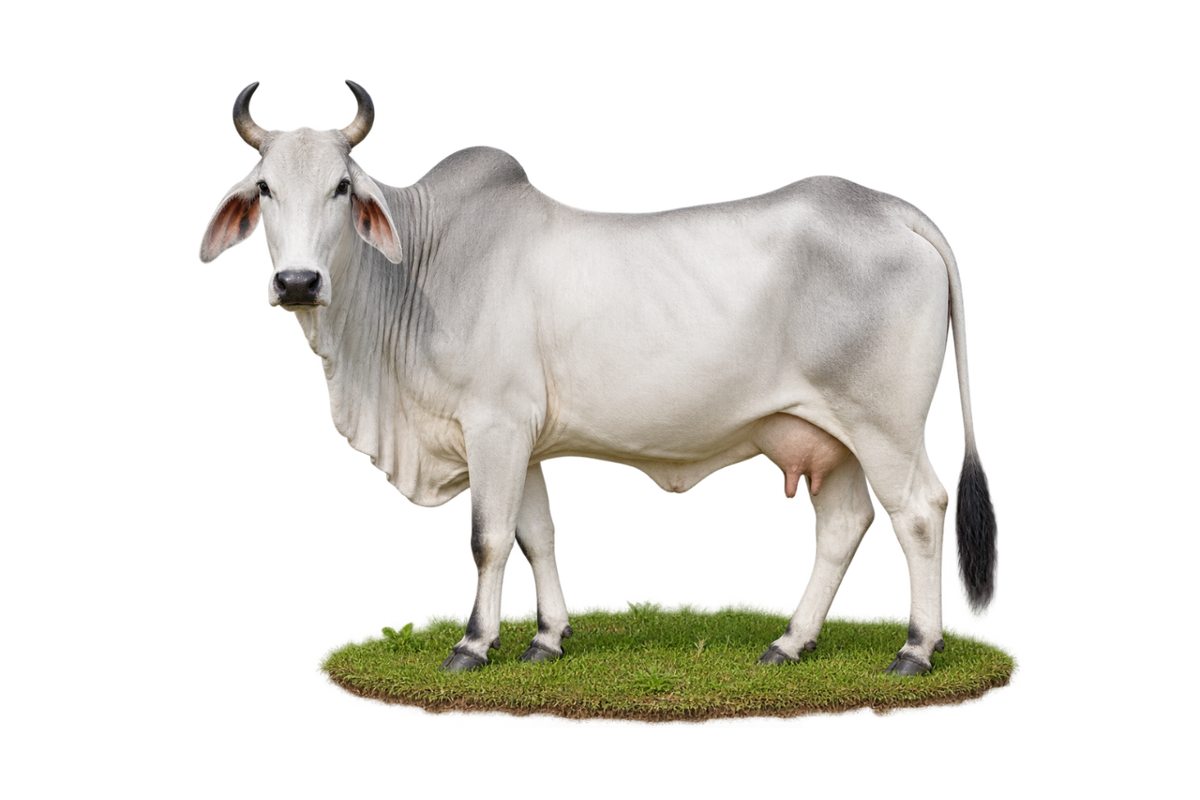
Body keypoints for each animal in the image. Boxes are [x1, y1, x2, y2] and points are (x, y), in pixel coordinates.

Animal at [198, 78, 999, 677]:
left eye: (341, 186)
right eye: (264, 188)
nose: (298, 282)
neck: (421, 272)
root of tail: (889, 208)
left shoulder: (494, 424)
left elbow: (487, 536)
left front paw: (473, 644)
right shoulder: (520, 437)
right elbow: (536, 534)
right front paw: (547, 638)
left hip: (884, 426)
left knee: (921, 511)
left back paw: (917, 649)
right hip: (832, 432)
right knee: (842, 524)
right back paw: (790, 642)